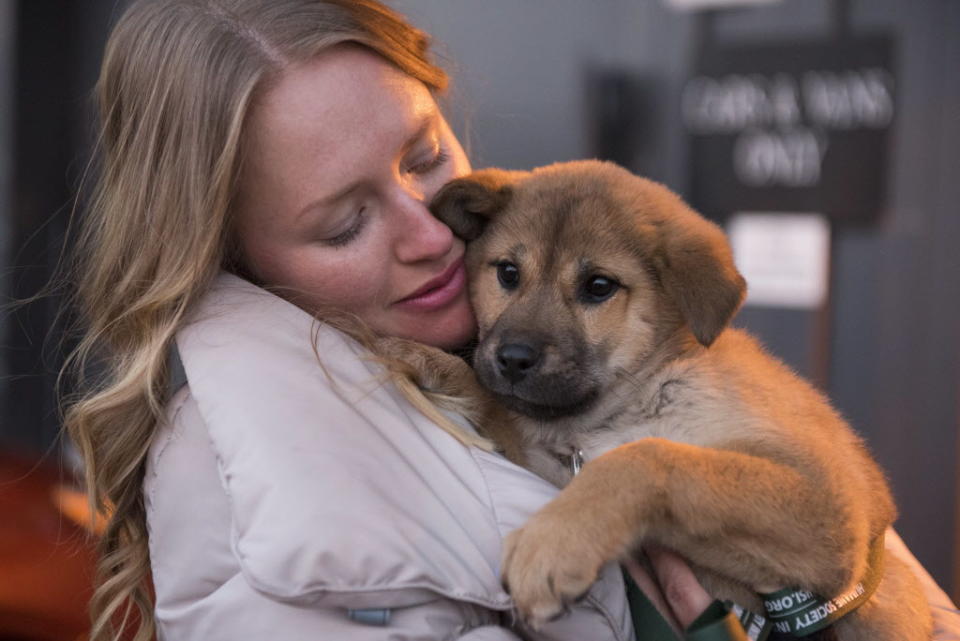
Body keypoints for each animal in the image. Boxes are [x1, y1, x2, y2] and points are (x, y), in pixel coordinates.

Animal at [380, 161, 928, 640]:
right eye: (508, 273)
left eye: (599, 286)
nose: (513, 359)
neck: (629, 403)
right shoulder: (552, 459)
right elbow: (501, 412)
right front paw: (424, 358)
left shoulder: (829, 506)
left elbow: (648, 458)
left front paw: (553, 545)